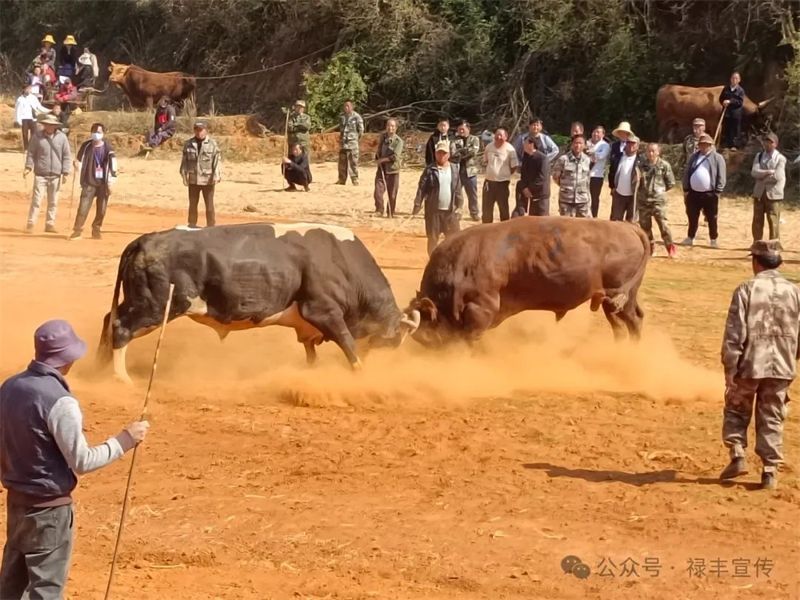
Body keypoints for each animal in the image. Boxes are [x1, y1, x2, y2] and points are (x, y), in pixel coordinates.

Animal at [97, 223, 422, 382]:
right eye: (392, 340)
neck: (337, 257)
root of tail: (144, 240)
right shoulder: (324, 312)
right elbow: (348, 345)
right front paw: (361, 374)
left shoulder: (308, 330)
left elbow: (312, 355)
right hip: (155, 306)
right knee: (121, 327)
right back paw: (120, 377)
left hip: (139, 301)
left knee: (109, 320)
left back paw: (100, 366)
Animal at [406, 217, 648, 346]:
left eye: (427, 337)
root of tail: (628, 227)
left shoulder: (480, 310)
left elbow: (471, 338)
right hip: (613, 301)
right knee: (623, 324)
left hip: (618, 298)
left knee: (633, 321)